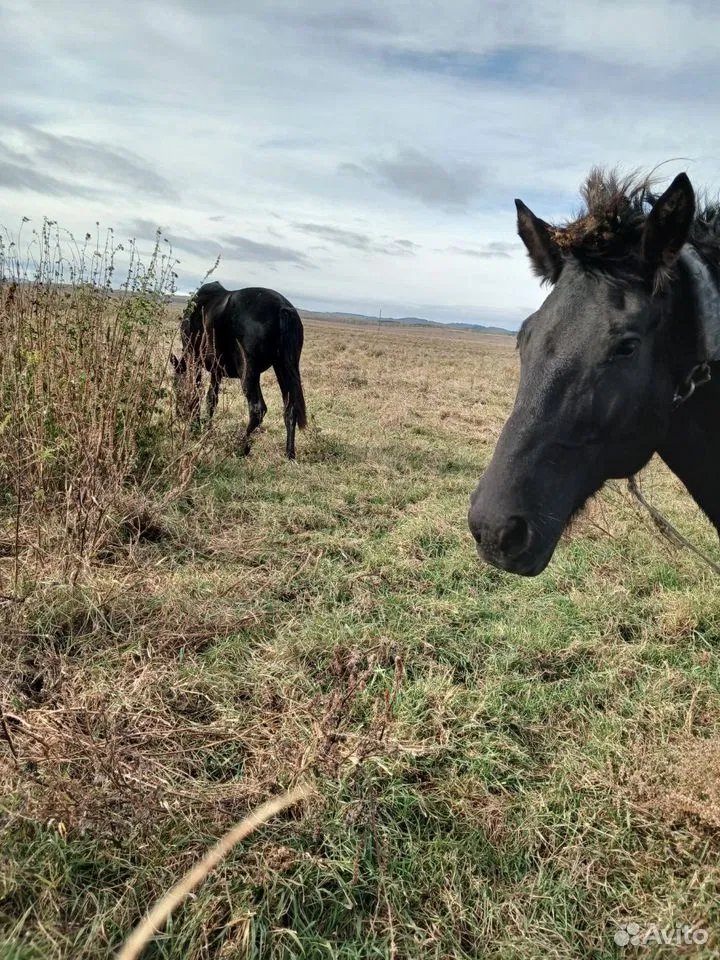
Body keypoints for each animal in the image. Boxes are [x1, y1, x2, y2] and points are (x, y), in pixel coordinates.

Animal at [170, 282, 308, 459]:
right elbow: (211, 399)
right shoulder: (216, 370)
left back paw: (242, 448)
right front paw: (207, 430)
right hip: (283, 367)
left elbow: (196, 393)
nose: (179, 414)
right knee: (290, 409)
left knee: (257, 409)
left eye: (176, 386)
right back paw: (289, 453)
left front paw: (196, 427)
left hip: (248, 371)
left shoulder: (195, 360)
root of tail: (282, 307)